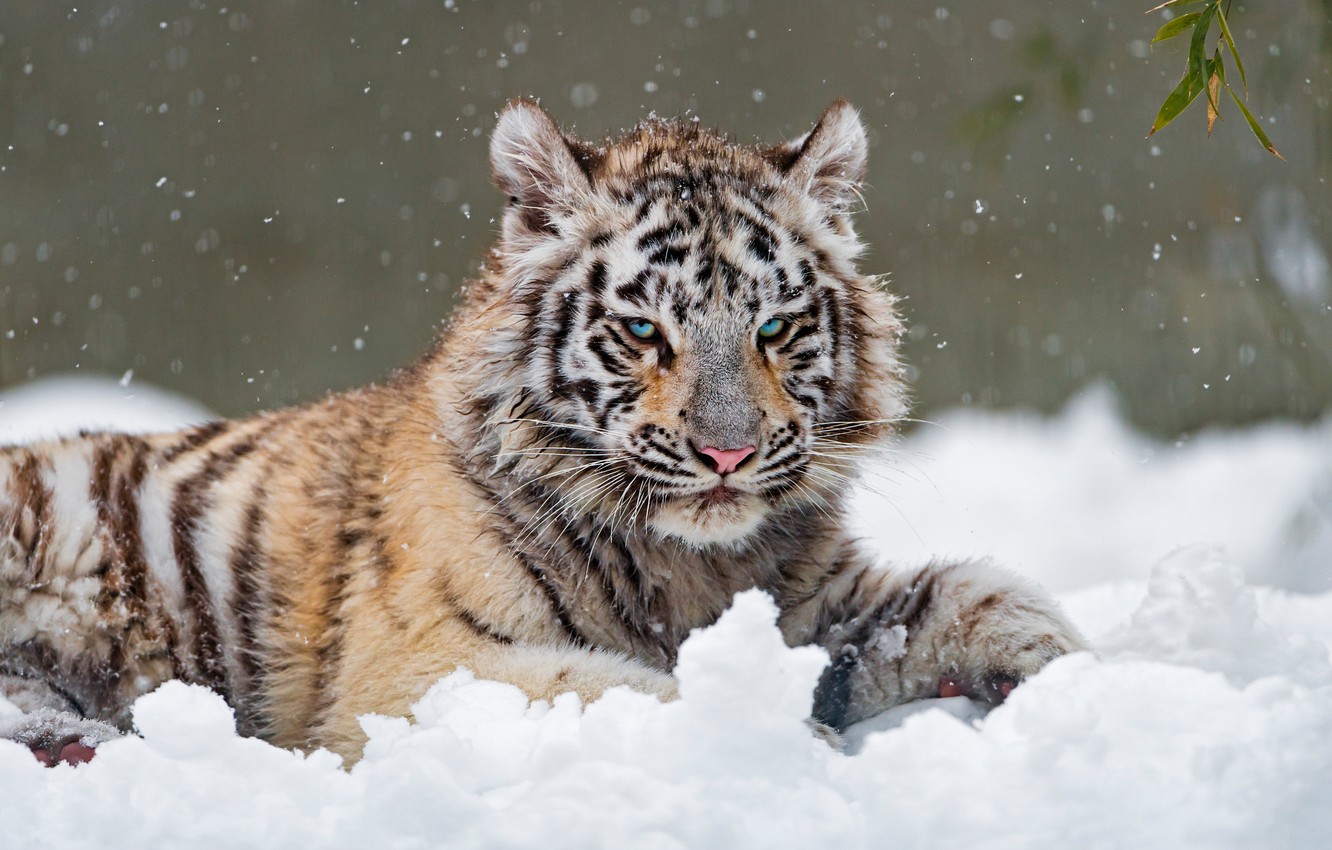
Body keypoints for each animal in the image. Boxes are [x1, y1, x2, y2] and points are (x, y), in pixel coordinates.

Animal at [0, 98, 1086, 767]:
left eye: (775, 328)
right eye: (644, 332)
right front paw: (793, 751)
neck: (690, 564)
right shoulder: (422, 668)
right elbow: (630, 688)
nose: (729, 453)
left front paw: (1086, 683)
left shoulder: (818, 602)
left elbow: (981, 596)